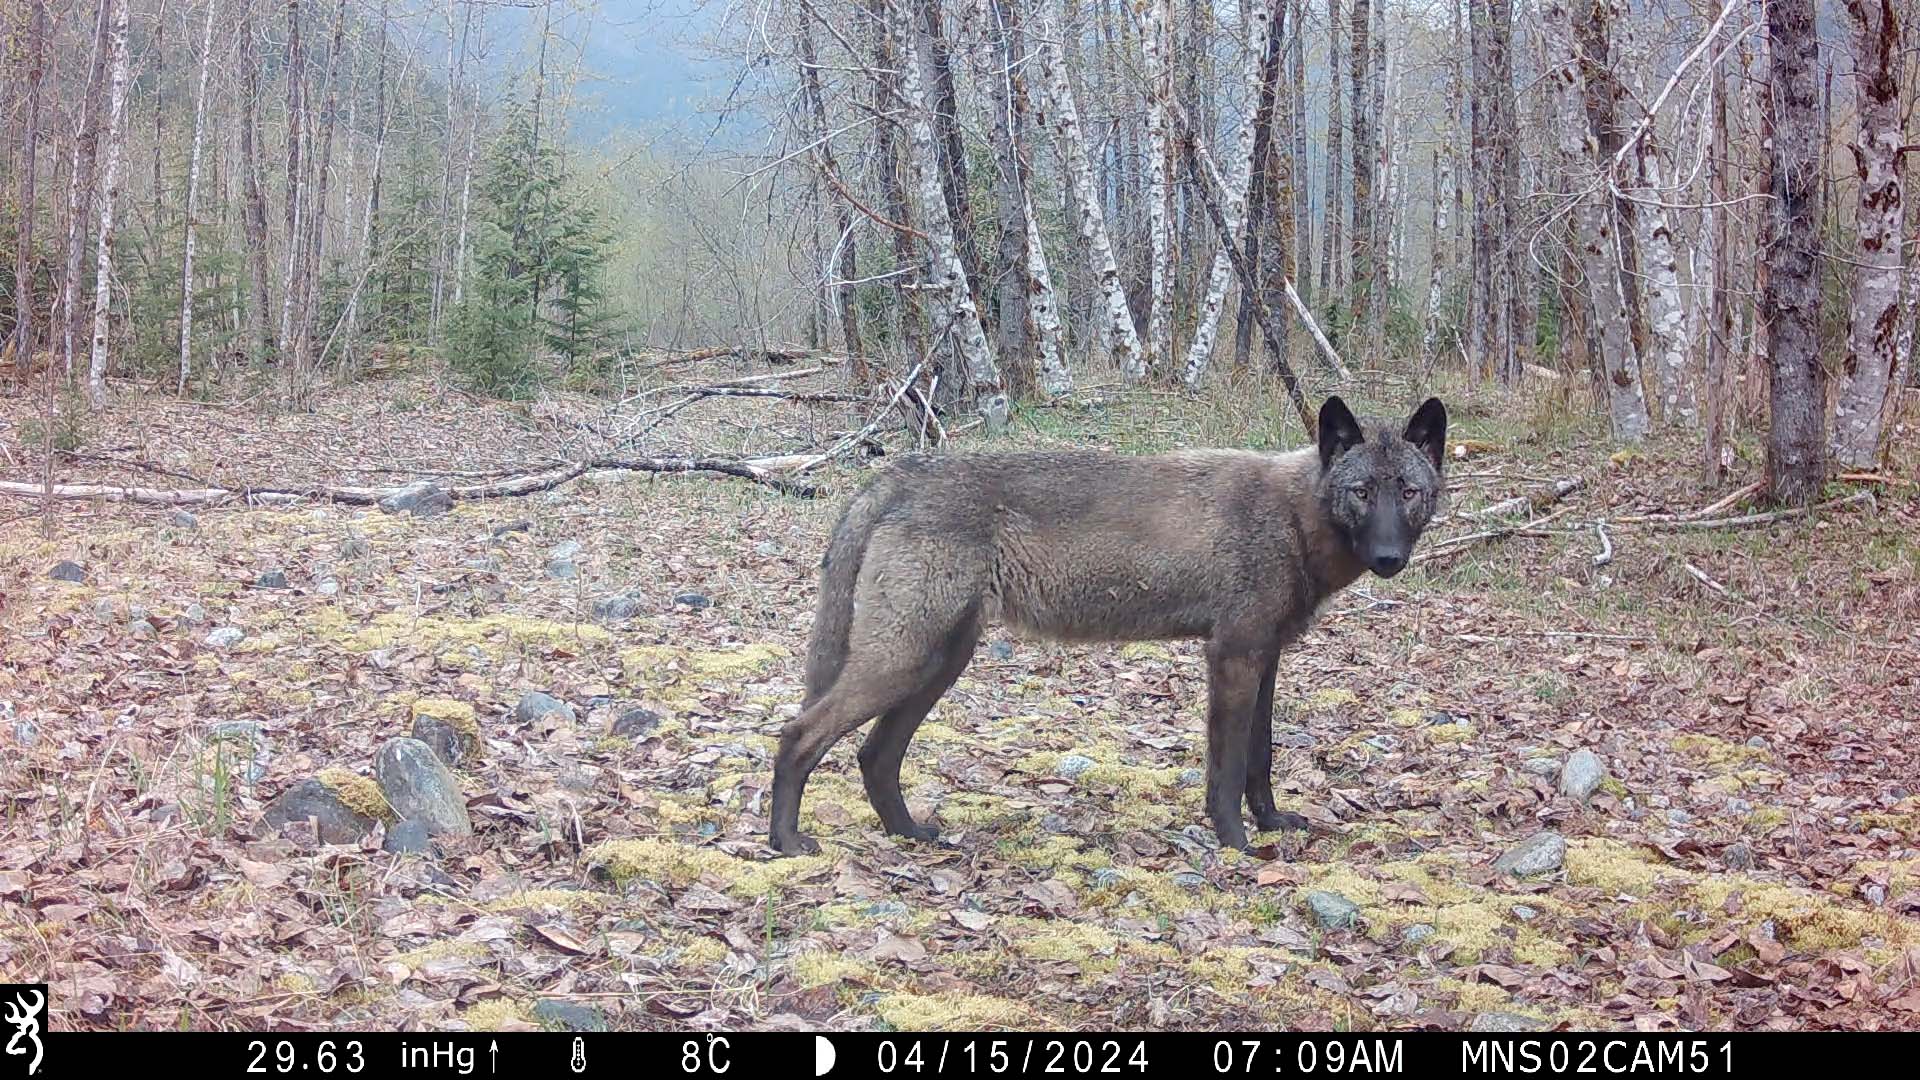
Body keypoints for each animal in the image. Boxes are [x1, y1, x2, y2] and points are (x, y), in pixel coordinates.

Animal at [769, 396, 1447, 855]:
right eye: (1362, 492)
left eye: (1409, 492)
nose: (1390, 558)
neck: (1293, 516)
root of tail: (894, 475)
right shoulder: (1232, 658)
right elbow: (1226, 770)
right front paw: (1235, 843)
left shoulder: (1266, 659)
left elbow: (1261, 758)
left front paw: (1273, 824)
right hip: (905, 660)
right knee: (798, 734)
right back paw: (786, 844)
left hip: (937, 664)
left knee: (874, 755)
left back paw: (909, 833)